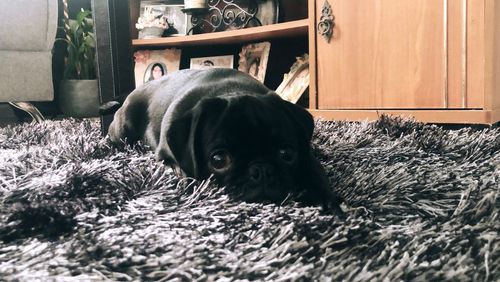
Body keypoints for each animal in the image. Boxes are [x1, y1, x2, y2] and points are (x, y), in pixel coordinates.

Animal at [108, 67, 344, 210]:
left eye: (286, 154)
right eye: (219, 160)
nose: (261, 170)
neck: (231, 91)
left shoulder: (305, 153)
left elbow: (314, 170)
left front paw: (322, 198)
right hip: (123, 128)